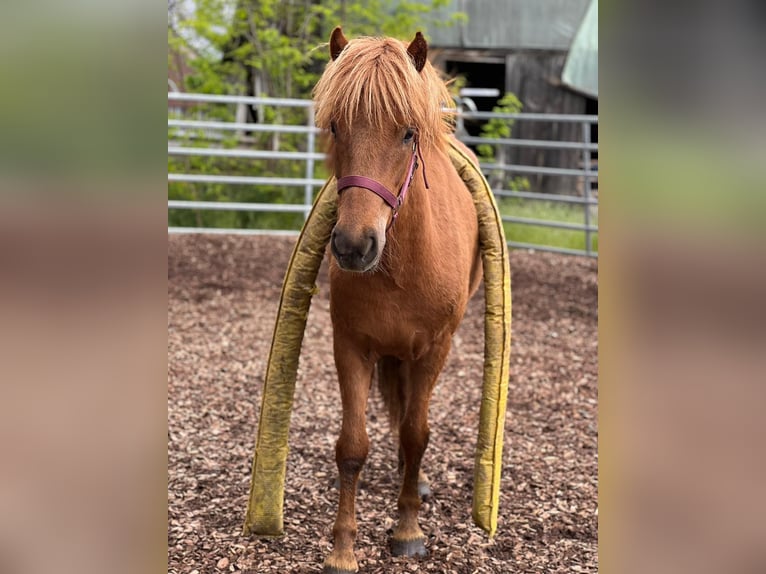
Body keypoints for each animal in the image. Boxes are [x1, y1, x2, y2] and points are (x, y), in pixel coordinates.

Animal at [313, 28, 483, 573]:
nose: (353, 245)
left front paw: (407, 529)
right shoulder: (350, 346)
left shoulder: (434, 349)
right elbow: (352, 444)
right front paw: (343, 547)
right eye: (336, 127)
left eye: (408, 133)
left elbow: (416, 433)